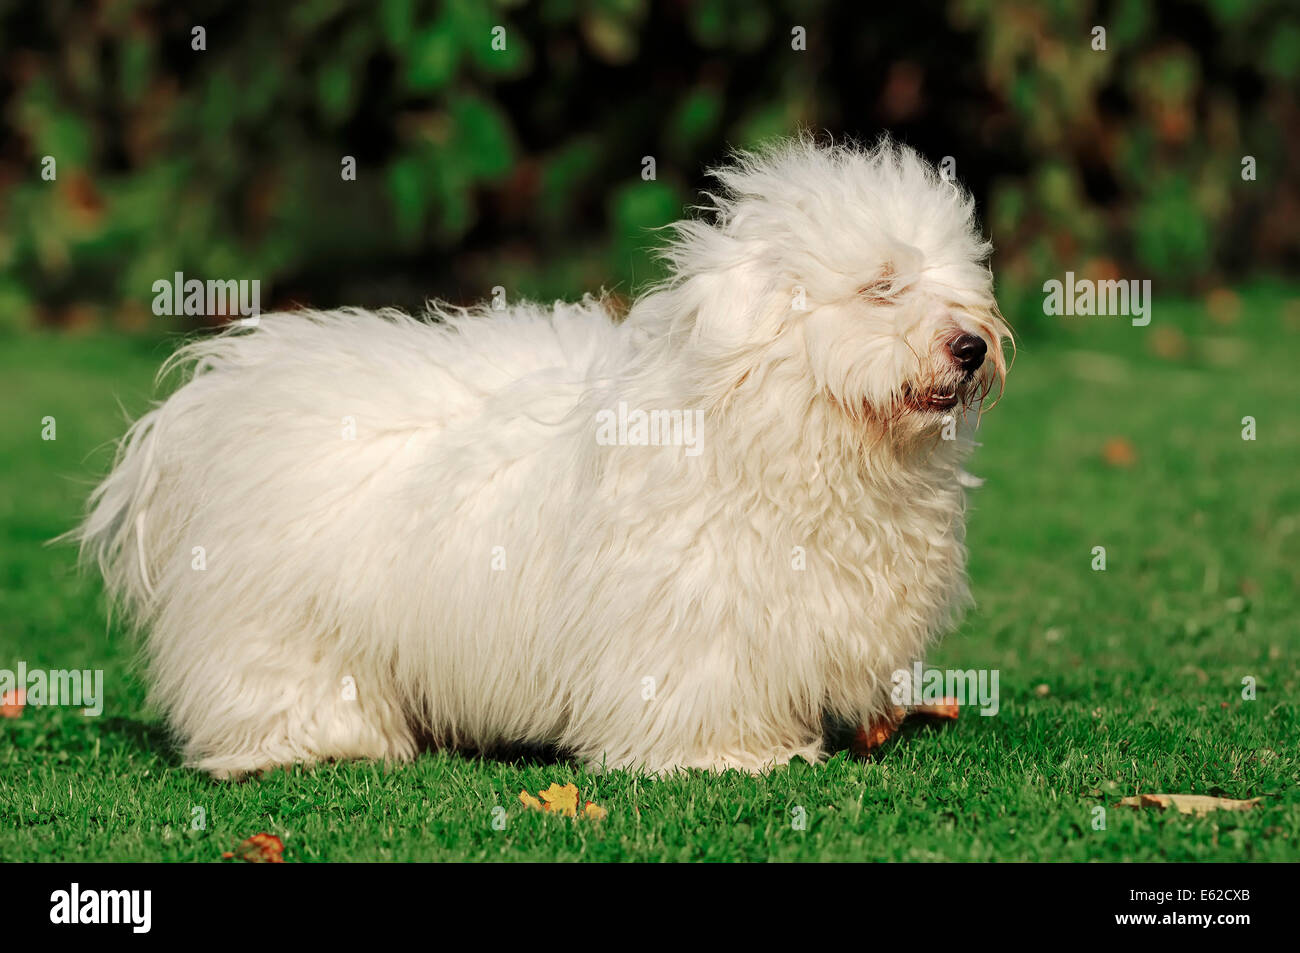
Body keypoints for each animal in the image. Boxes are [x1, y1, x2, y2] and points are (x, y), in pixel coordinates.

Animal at [78, 137, 1003, 774]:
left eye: (961, 284)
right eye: (882, 285)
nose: (971, 347)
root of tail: (220, 392)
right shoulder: (691, 615)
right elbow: (699, 692)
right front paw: (732, 756)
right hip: (283, 621)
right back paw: (320, 741)